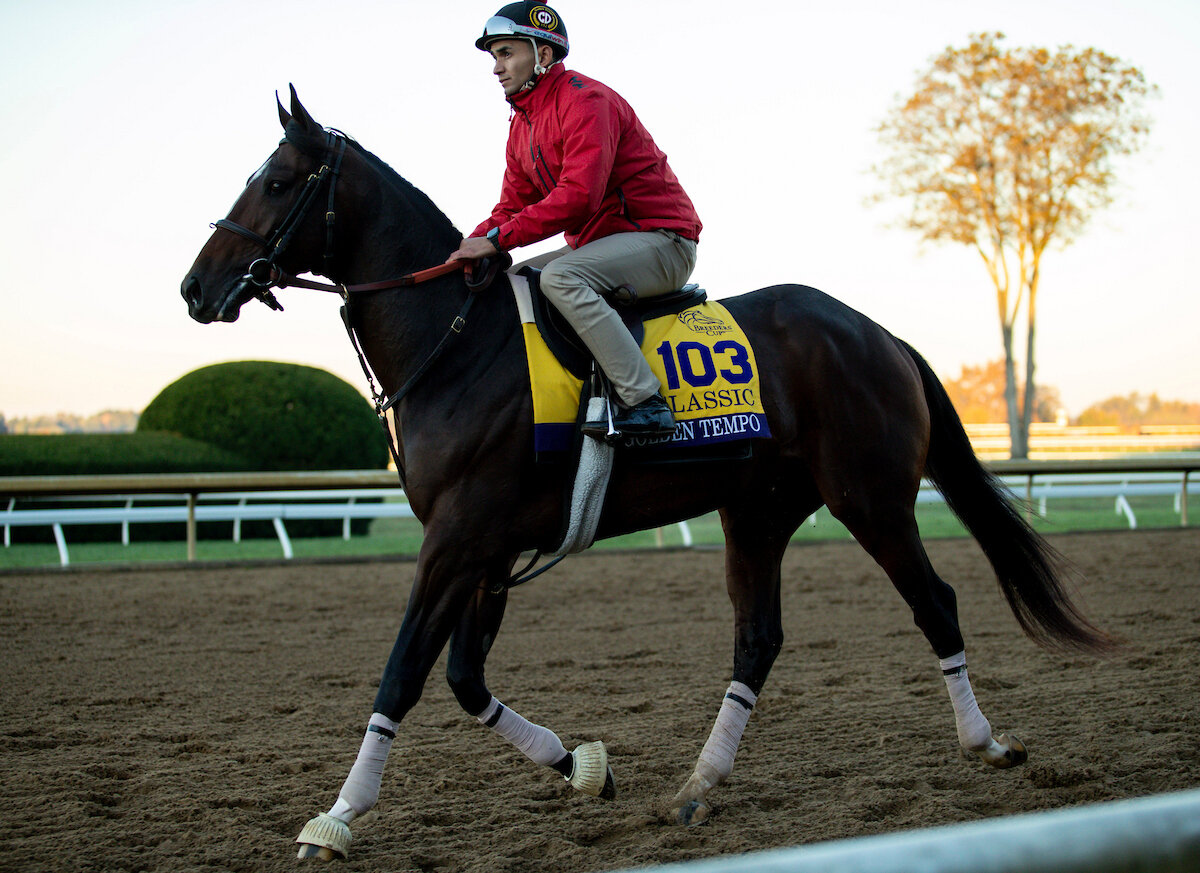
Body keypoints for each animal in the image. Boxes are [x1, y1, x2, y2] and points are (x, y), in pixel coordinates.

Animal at [181, 87, 1110, 860]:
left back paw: (987, 742)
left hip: (871, 498)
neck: (458, 341)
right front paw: (583, 764)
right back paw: (698, 784)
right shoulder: (488, 550)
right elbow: (464, 678)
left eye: (276, 182)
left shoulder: (457, 538)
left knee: (935, 603)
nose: (196, 287)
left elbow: (405, 670)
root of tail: (876, 333)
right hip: (758, 509)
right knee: (757, 637)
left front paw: (336, 816)